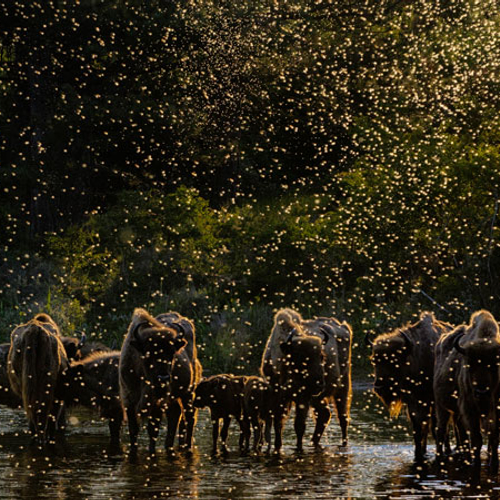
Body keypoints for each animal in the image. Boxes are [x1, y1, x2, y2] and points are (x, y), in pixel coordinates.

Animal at [366, 312, 456, 460]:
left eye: (394, 361)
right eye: (374, 360)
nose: (379, 387)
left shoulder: (432, 402)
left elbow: (435, 428)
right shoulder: (413, 402)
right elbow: (418, 428)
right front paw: (419, 454)